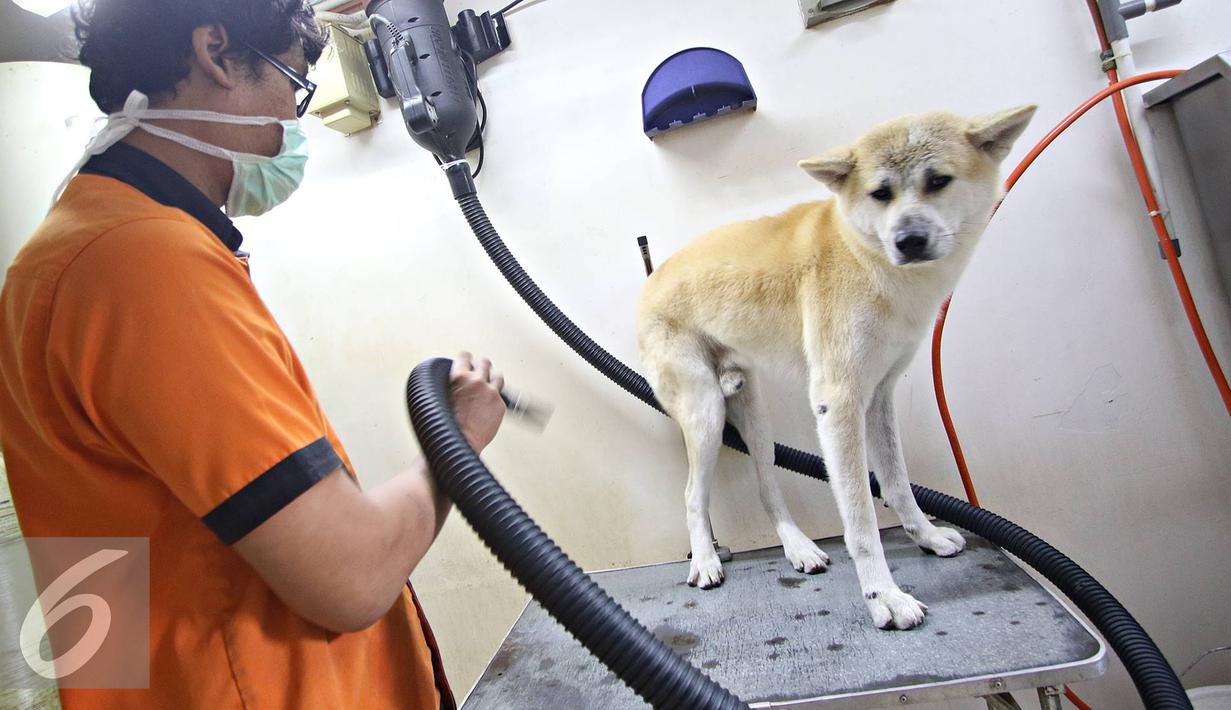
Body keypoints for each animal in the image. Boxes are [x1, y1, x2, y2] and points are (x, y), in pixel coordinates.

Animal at [640, 105, 1034, 625]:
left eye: (939, 181)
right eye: (880, 193)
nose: (909, 240)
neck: (867, 257)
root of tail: (650, 282)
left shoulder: (879, 396)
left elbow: (898, 484)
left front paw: (926, 537)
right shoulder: (839, 403)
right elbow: (861, 517)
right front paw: (884, 597)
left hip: (756, 421)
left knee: (768, 487)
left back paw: (798, 547)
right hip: (705, 415)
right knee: (692, 496)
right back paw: (705, 560)